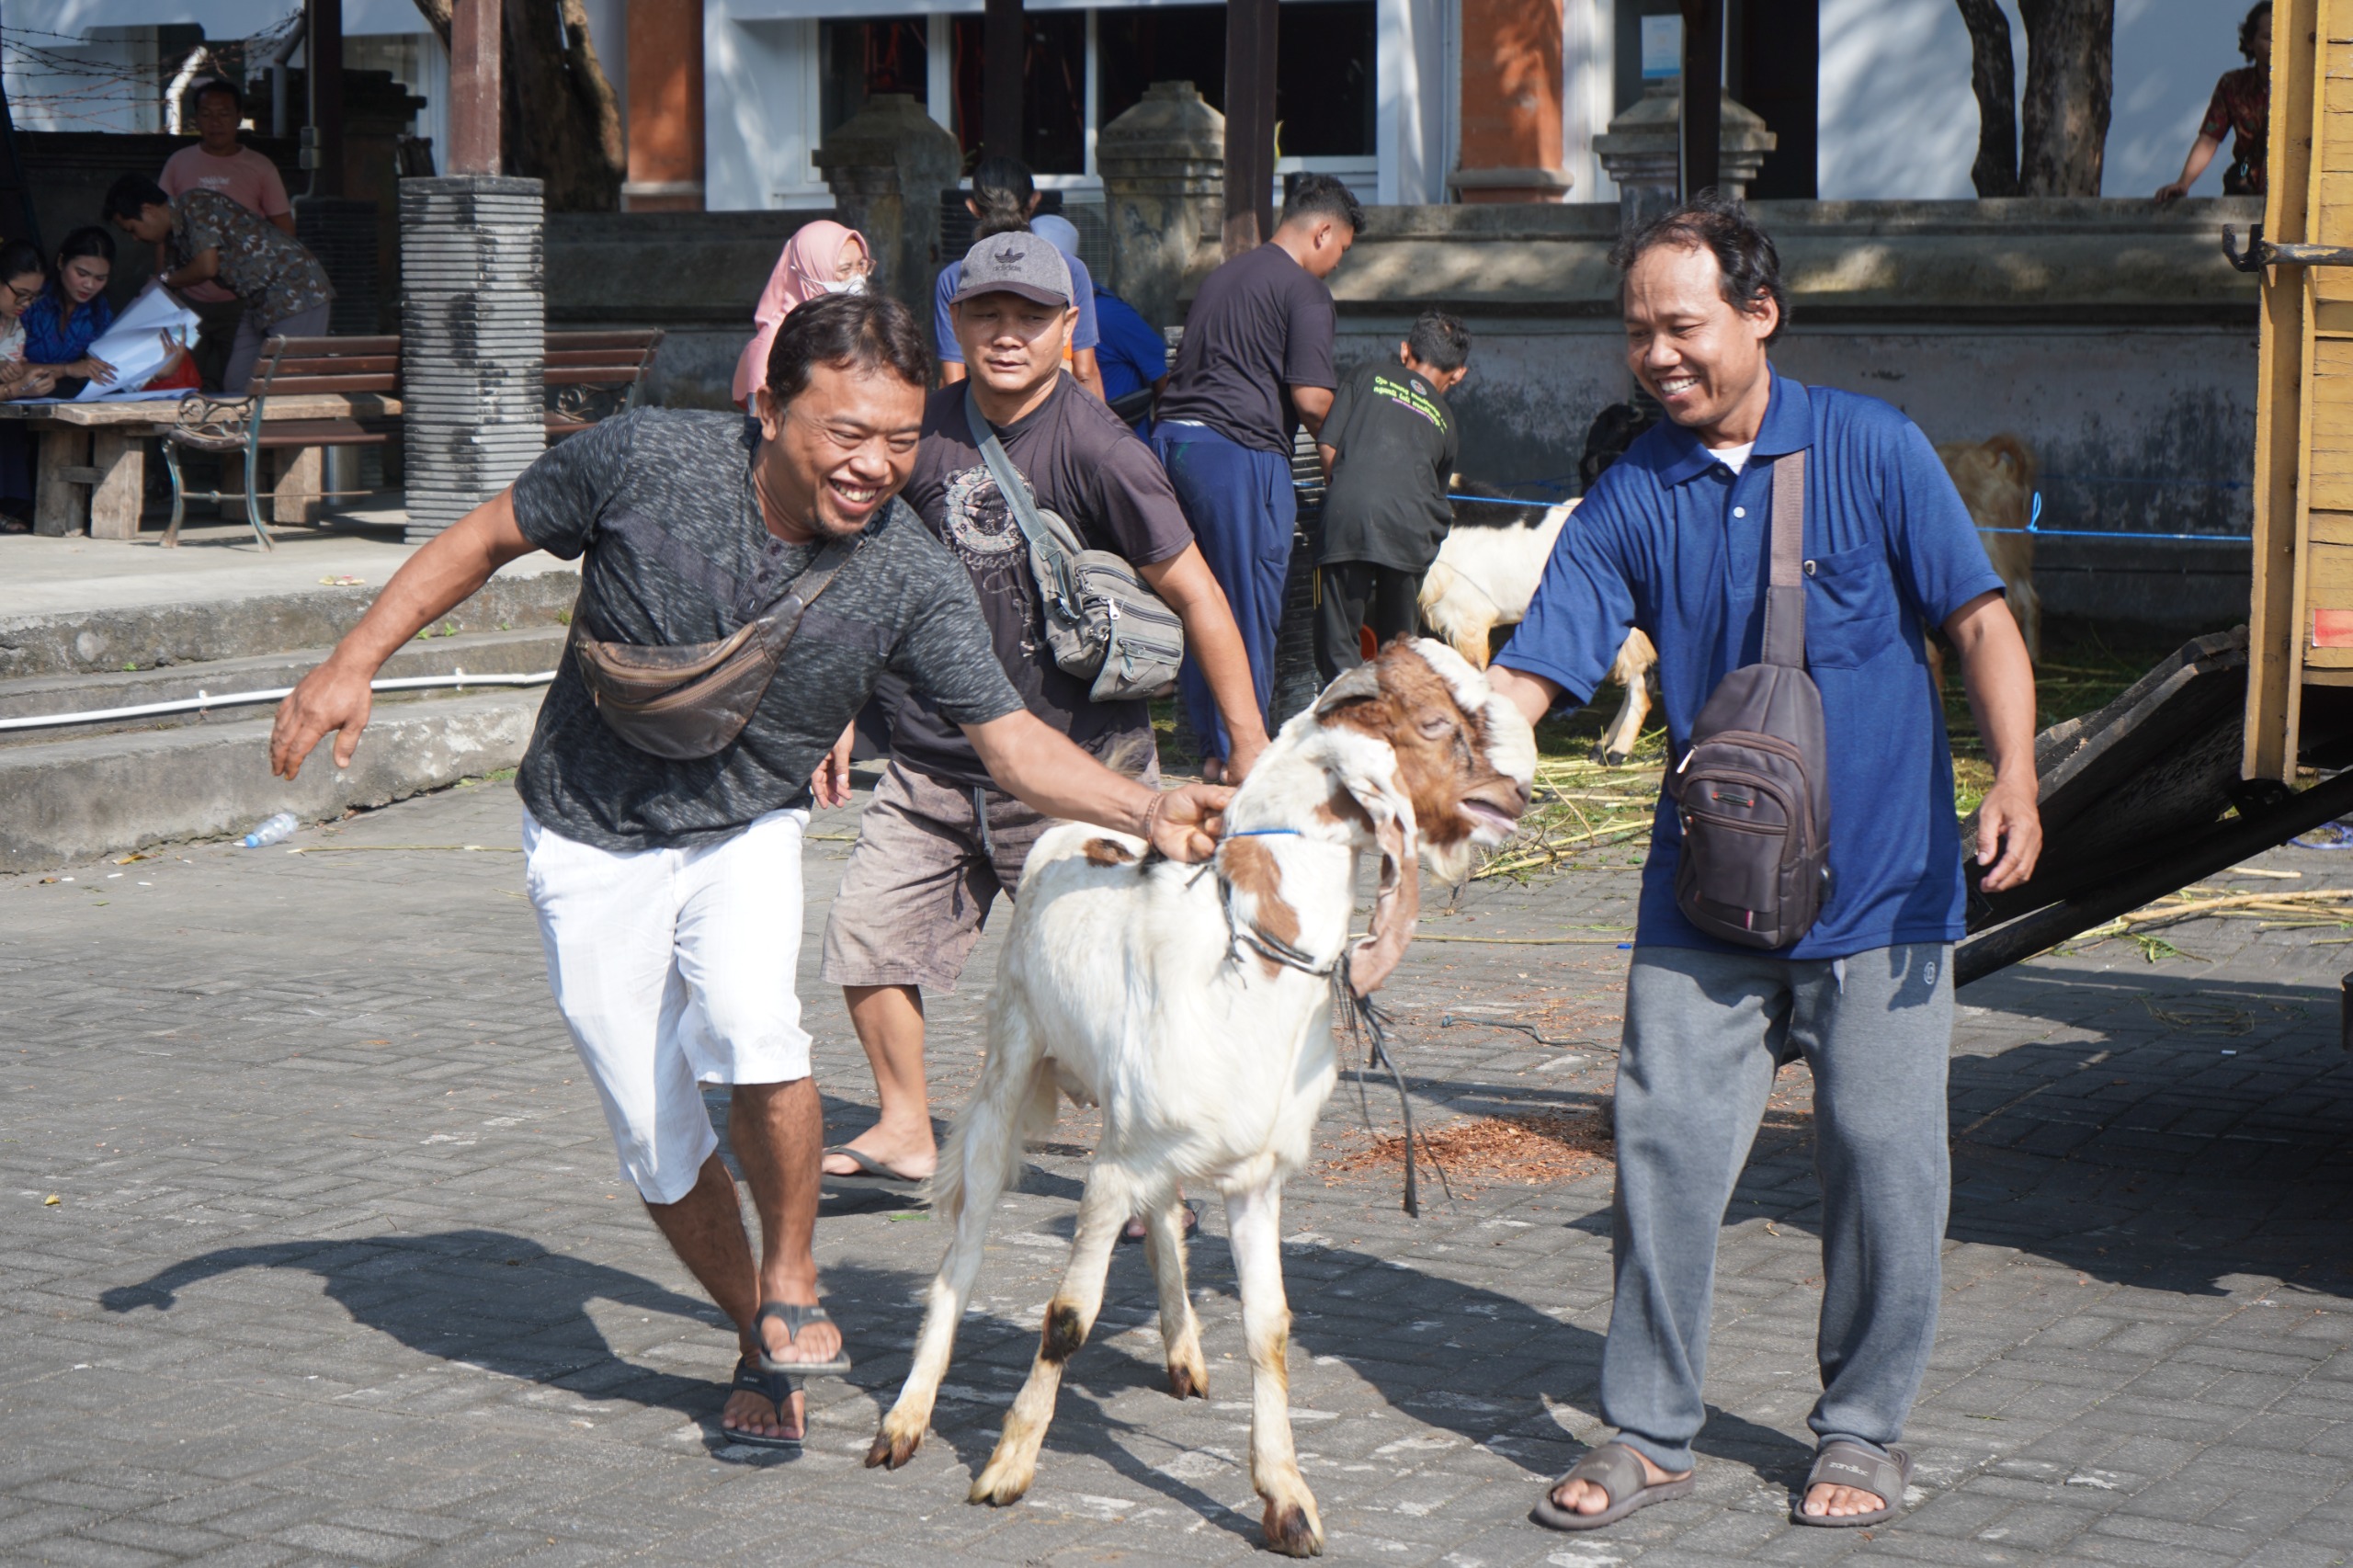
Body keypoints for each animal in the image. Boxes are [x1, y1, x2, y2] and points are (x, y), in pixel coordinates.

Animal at [875, 635, 1534, 1553]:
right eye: (1437, 725)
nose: (1515, 797)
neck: (1240, 965)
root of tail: (1076, 831)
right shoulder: (1110, 1169)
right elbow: (1068, 1314)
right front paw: (1006, 1468)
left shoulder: (1256, 1176)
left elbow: (1271, 1327)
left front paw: (1287, 1501)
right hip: (1010, 1060)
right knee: (965, 1242)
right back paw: (905, 1419)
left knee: (1164, 1215)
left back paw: (1184, 1352)